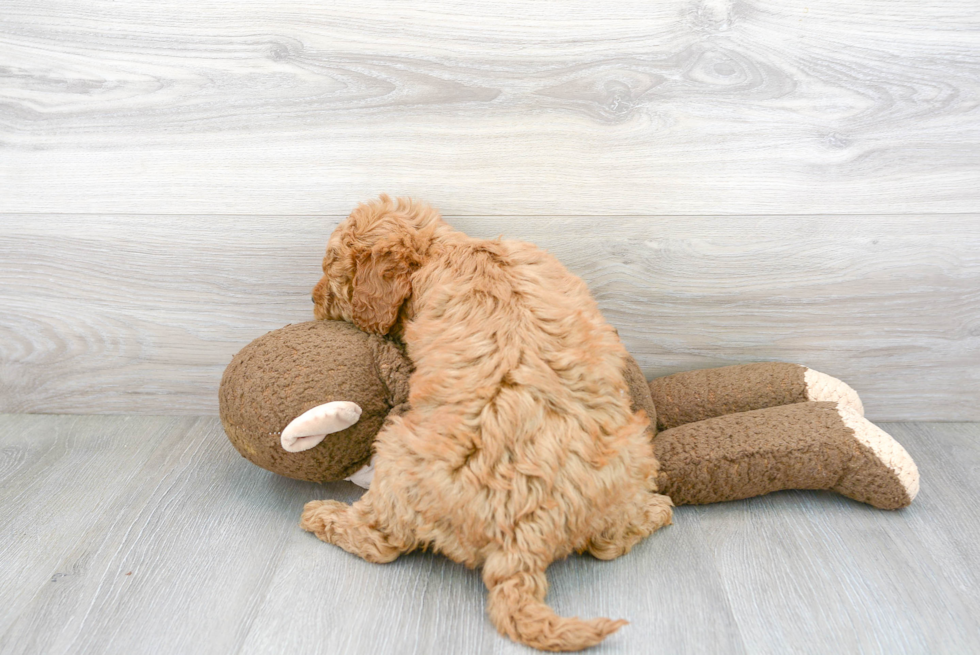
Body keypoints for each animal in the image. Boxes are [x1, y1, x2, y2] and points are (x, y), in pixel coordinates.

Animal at [304, 195, 672, 652]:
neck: (444, 249)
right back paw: (657, 509)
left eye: (330, 266)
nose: (312, 299)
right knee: (609, 542)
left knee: (381, 541)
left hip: (397, 451)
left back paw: (322, 514)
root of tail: (522, 534)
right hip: (633, 451)